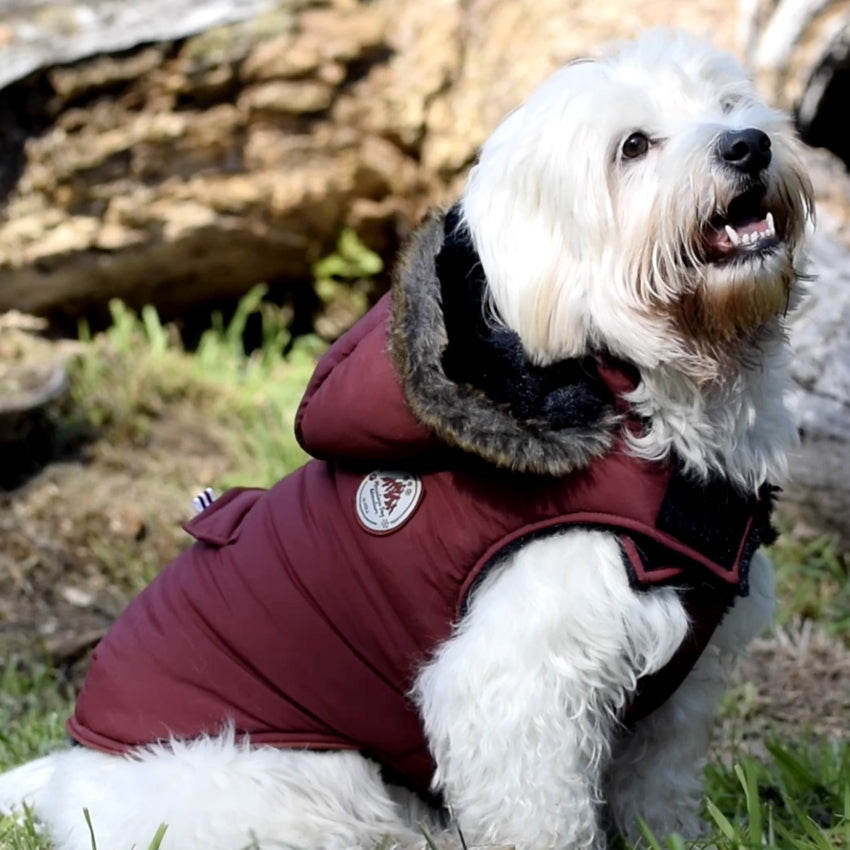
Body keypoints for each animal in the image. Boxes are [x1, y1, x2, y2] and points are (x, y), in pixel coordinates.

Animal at [0, 26, 812, 848]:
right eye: (634, 146)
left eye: (729, 105)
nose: (748, 144)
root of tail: (68, 778)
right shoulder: (514, 687)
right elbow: (541, 814)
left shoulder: (675, 701)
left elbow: (660, 793)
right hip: (305, 788)